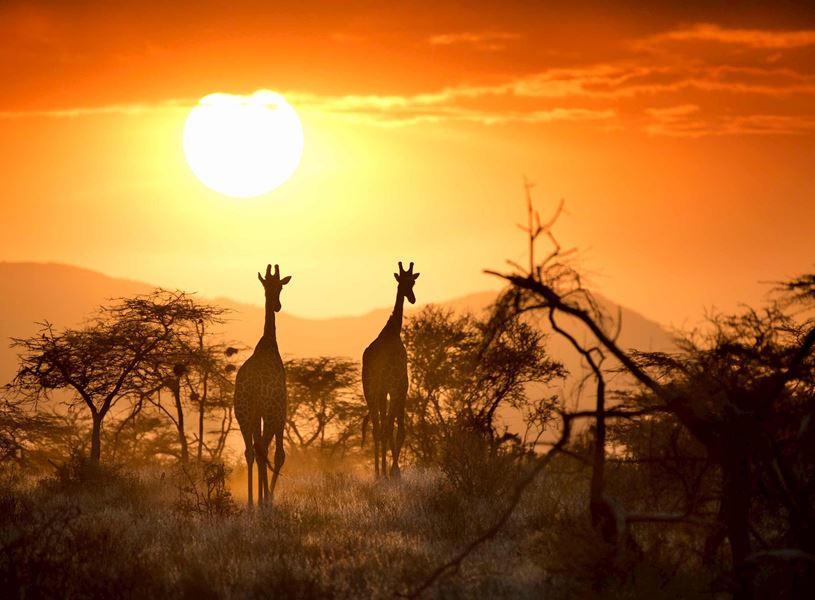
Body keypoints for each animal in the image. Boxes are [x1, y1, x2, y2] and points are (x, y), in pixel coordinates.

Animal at [362, 261, 419, 478]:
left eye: (413, 282)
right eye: (404, 282)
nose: (412, 298)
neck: (393, 330)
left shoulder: (384, 392)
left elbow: (388, 428)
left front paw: (390, 471)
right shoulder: (401, 387)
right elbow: (399, 430)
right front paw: (396, 471)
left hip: (371, 391)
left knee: (377, 428)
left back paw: (379, 473)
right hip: (388, 389)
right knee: (385, 428)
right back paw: (386, 473)